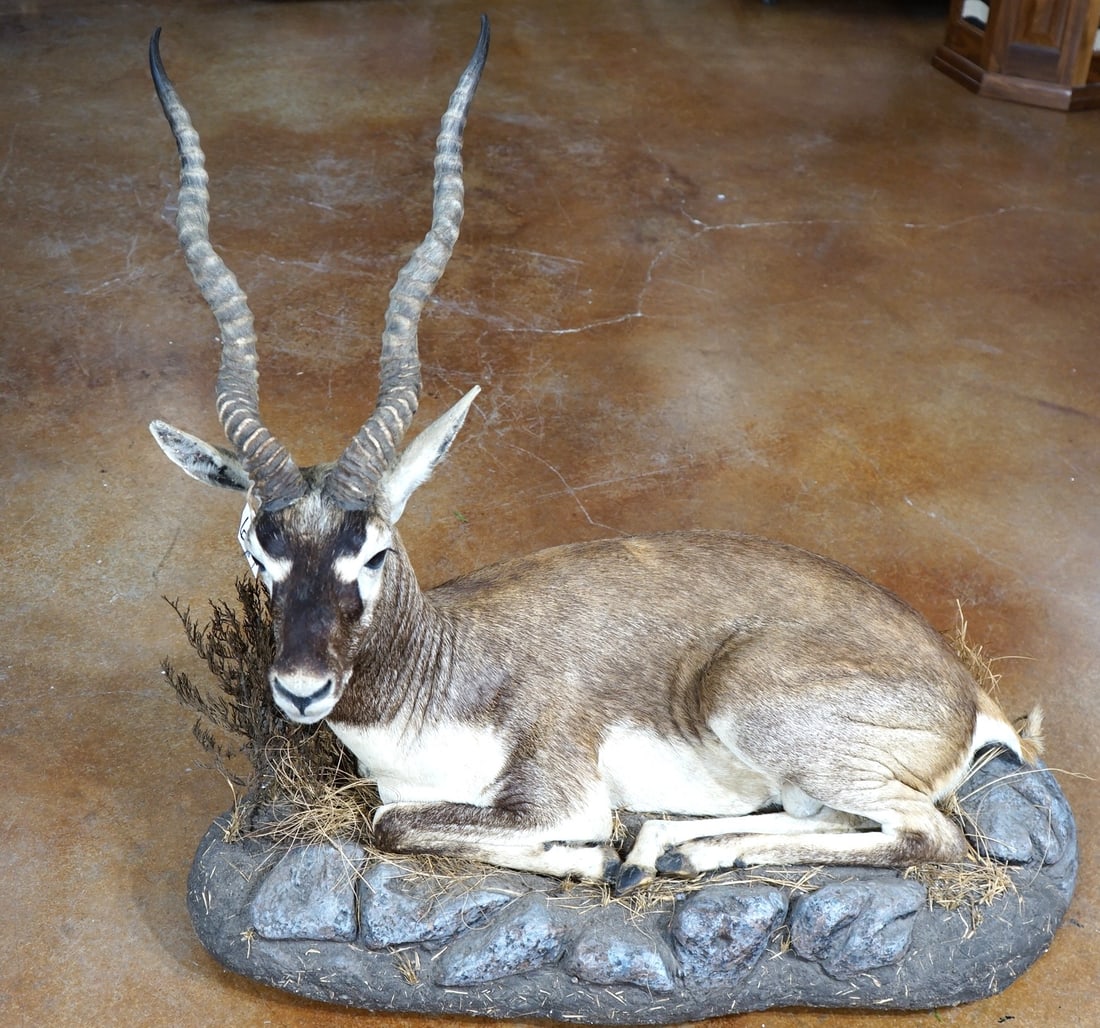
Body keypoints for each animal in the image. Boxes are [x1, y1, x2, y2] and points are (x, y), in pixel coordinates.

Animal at [148, 19, 1041, 893]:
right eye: (258, 553)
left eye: (372, 553)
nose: (301, 690)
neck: (444, 672)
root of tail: (966, 689)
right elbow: (395, 815)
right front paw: (609, 856)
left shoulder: (560, 794)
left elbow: (393, 821)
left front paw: (584, 858)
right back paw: (663, 849)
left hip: (759, 710)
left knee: (931, 835)